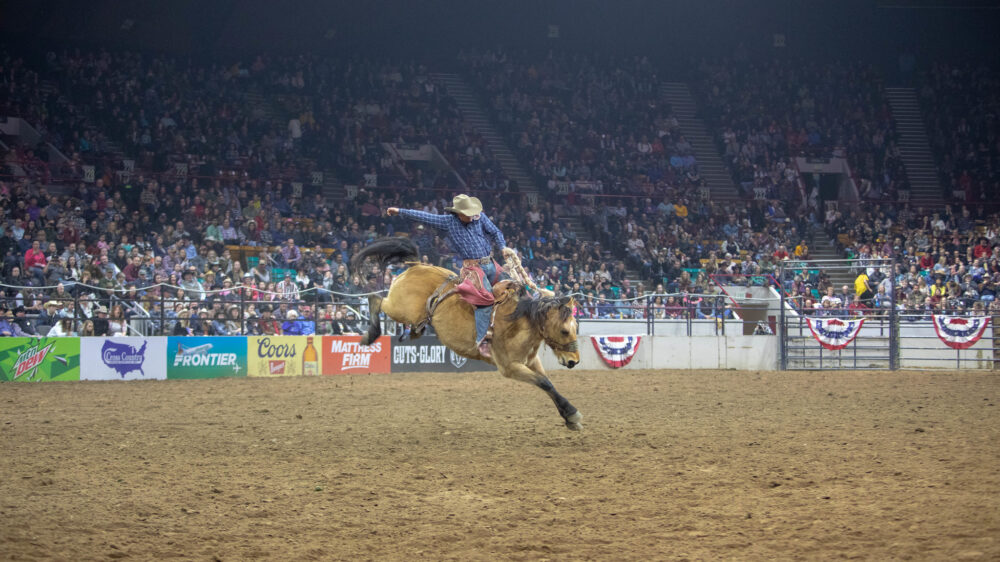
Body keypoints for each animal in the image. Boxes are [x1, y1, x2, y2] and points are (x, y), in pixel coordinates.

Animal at [352, 236, 584, 428]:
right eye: (564, 330)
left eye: (576, 328)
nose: (574, 361)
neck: (518, 322)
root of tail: (417, 266)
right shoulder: (510, 367)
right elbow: (543, 382)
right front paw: (572, 414)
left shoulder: (531, 361)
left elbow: (548, 384)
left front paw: (570, 416)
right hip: (398, 308)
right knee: (375, 299)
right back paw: (370, 335)